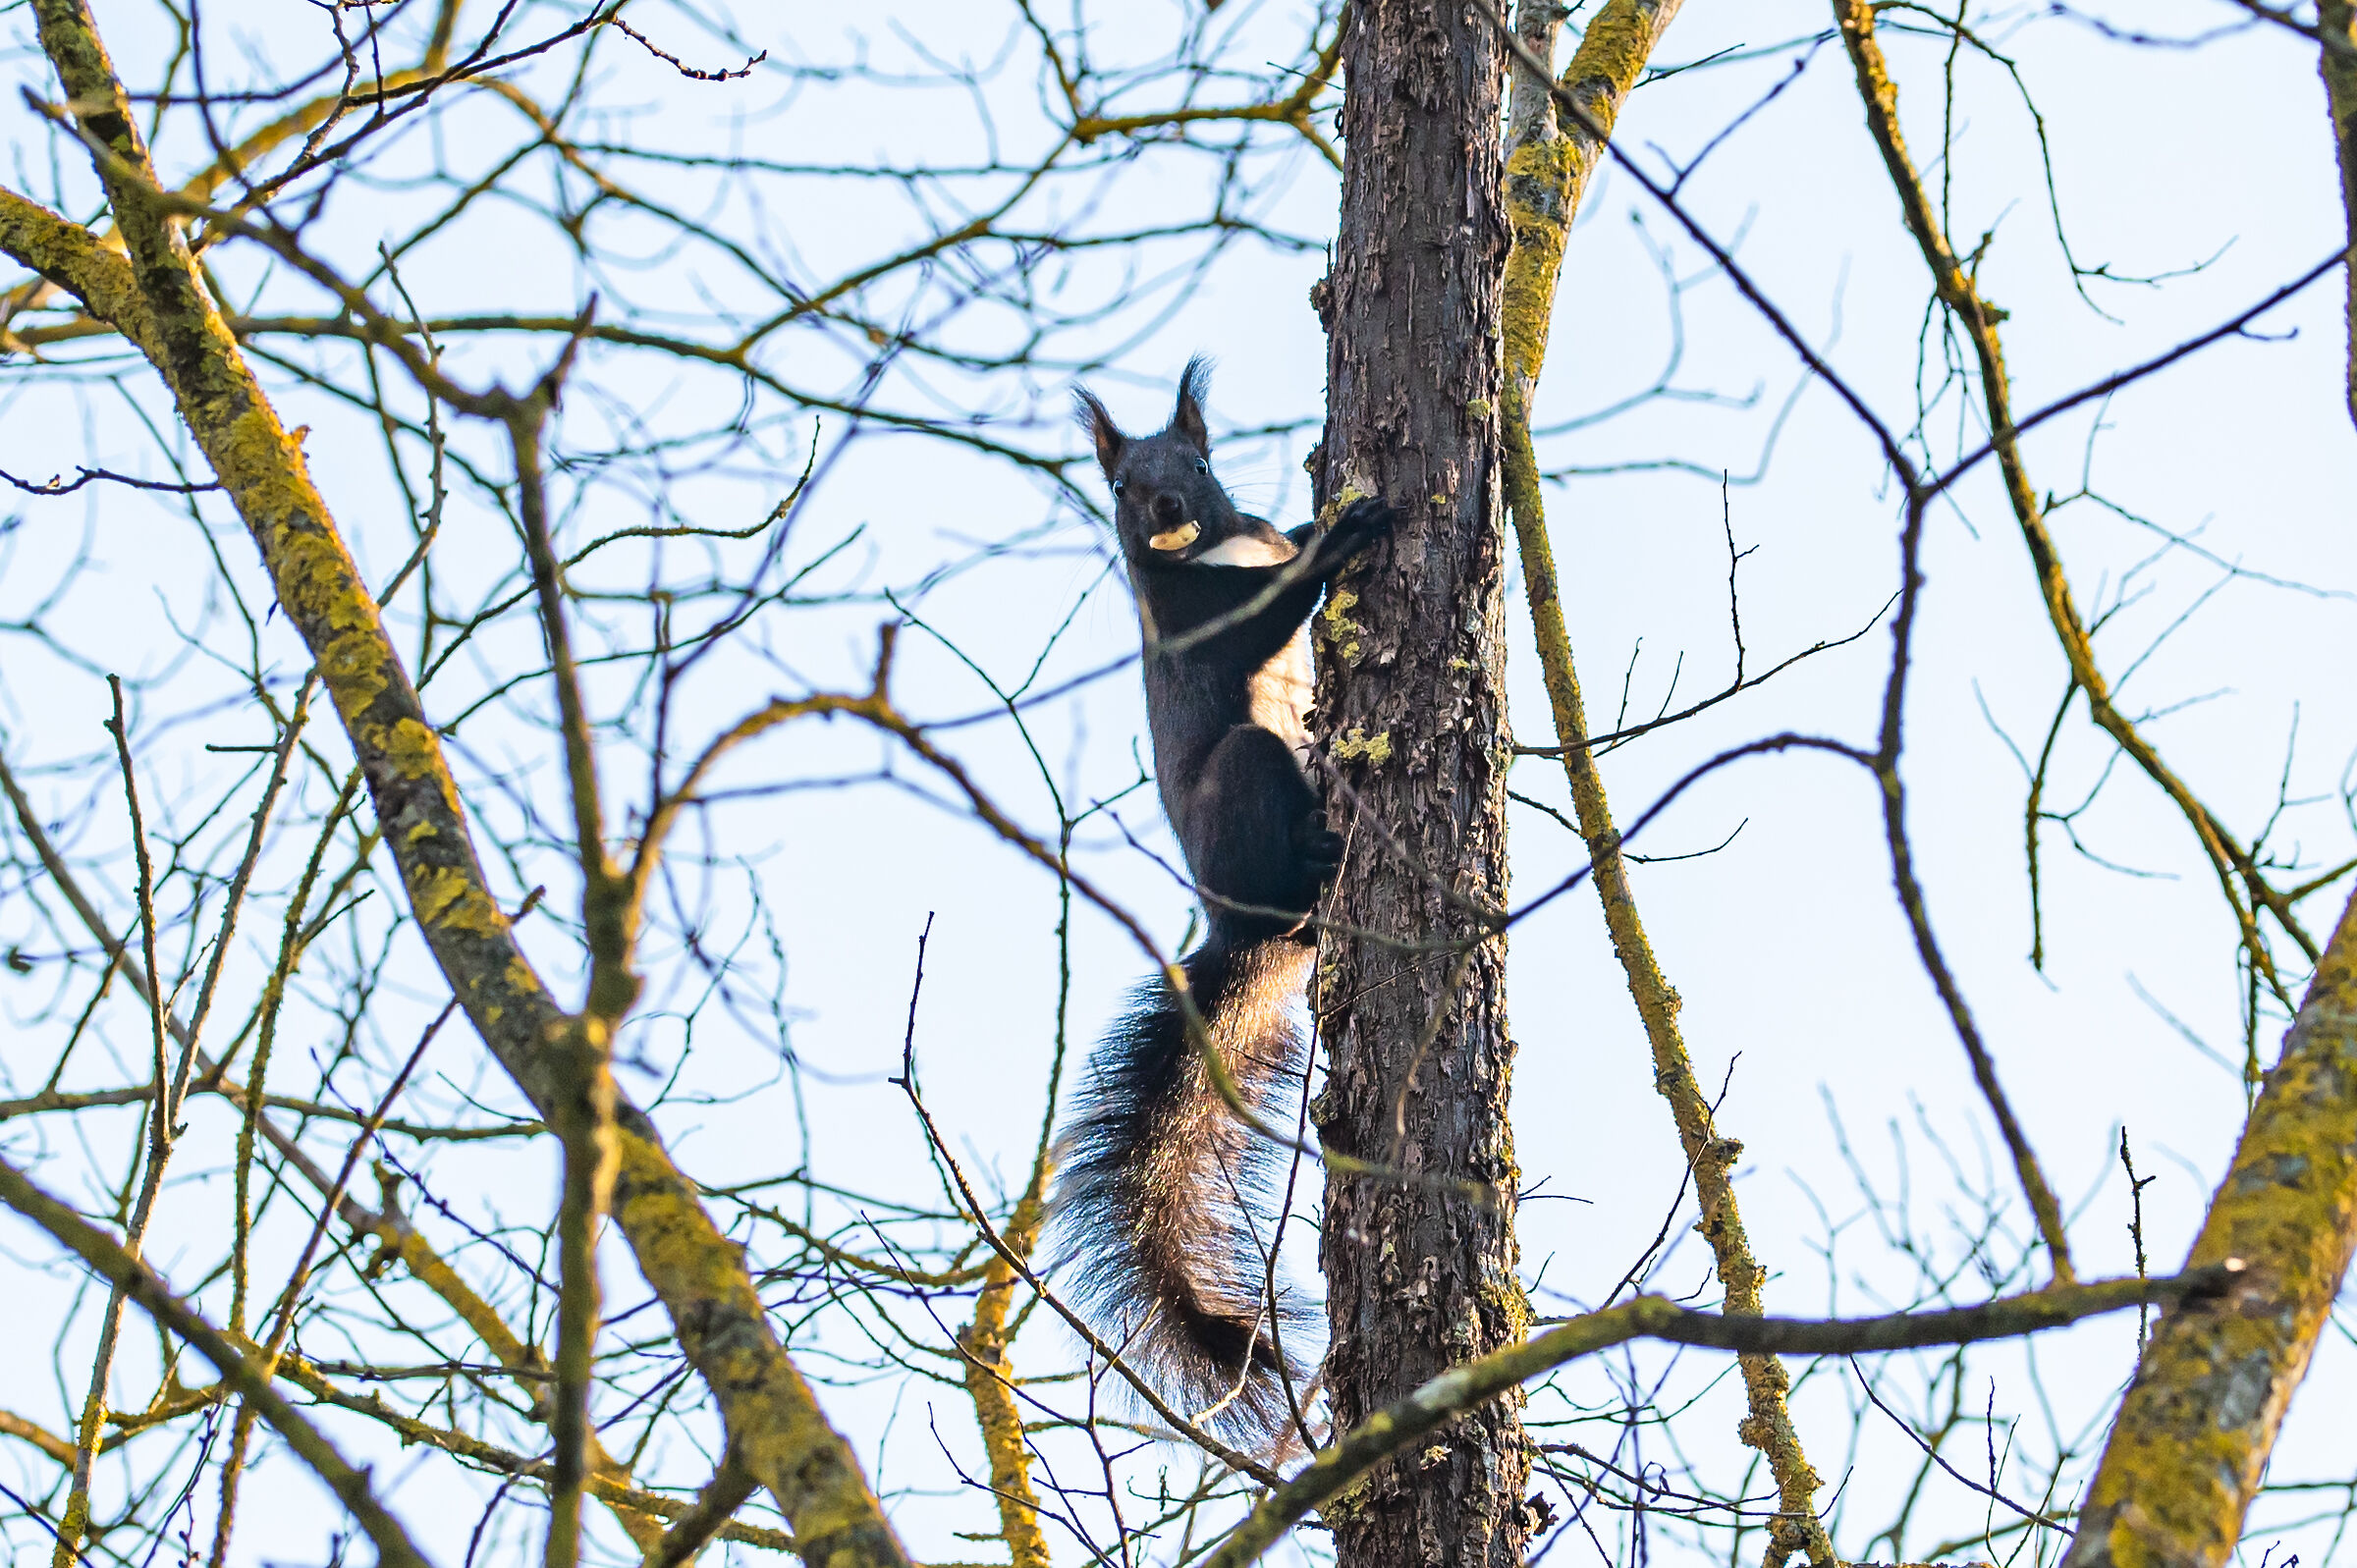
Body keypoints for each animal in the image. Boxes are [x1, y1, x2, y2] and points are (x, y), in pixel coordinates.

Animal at [1048, 358, 1395, 1441]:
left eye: (1196, 463)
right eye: (1120, 483)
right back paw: (1316, 862)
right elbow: (1260, 615)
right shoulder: (1193, 616)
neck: (1214, 547)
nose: (1164, 507)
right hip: (1247, 770)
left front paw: (1319, 518)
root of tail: (1233, 930)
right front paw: (1345, 534)